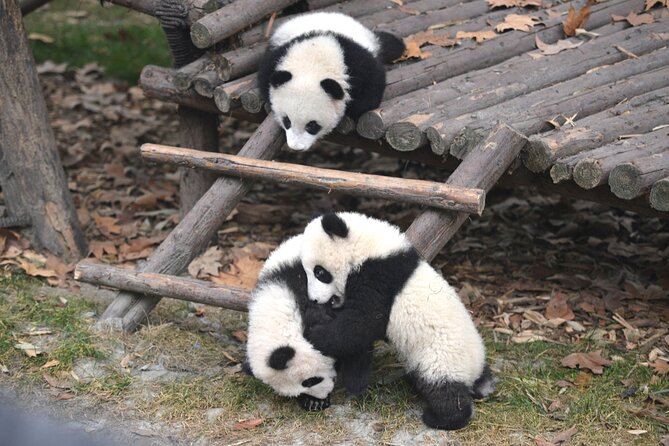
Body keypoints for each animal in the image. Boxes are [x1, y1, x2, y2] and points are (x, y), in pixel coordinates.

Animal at [257, 12, 405, 151]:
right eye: (287, 121)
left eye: (312, 125)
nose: (296, 147)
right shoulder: (279, 56)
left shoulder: (359, 68)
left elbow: (369, 95)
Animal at [298, 212, 495, 430]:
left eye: (319, 272)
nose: (315, 299)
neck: (368, 247)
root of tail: (475, 374)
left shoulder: (379, 277)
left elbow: (361, 323)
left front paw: (314, 331)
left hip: (441, 358)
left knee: (444, 391)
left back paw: (442, 418)